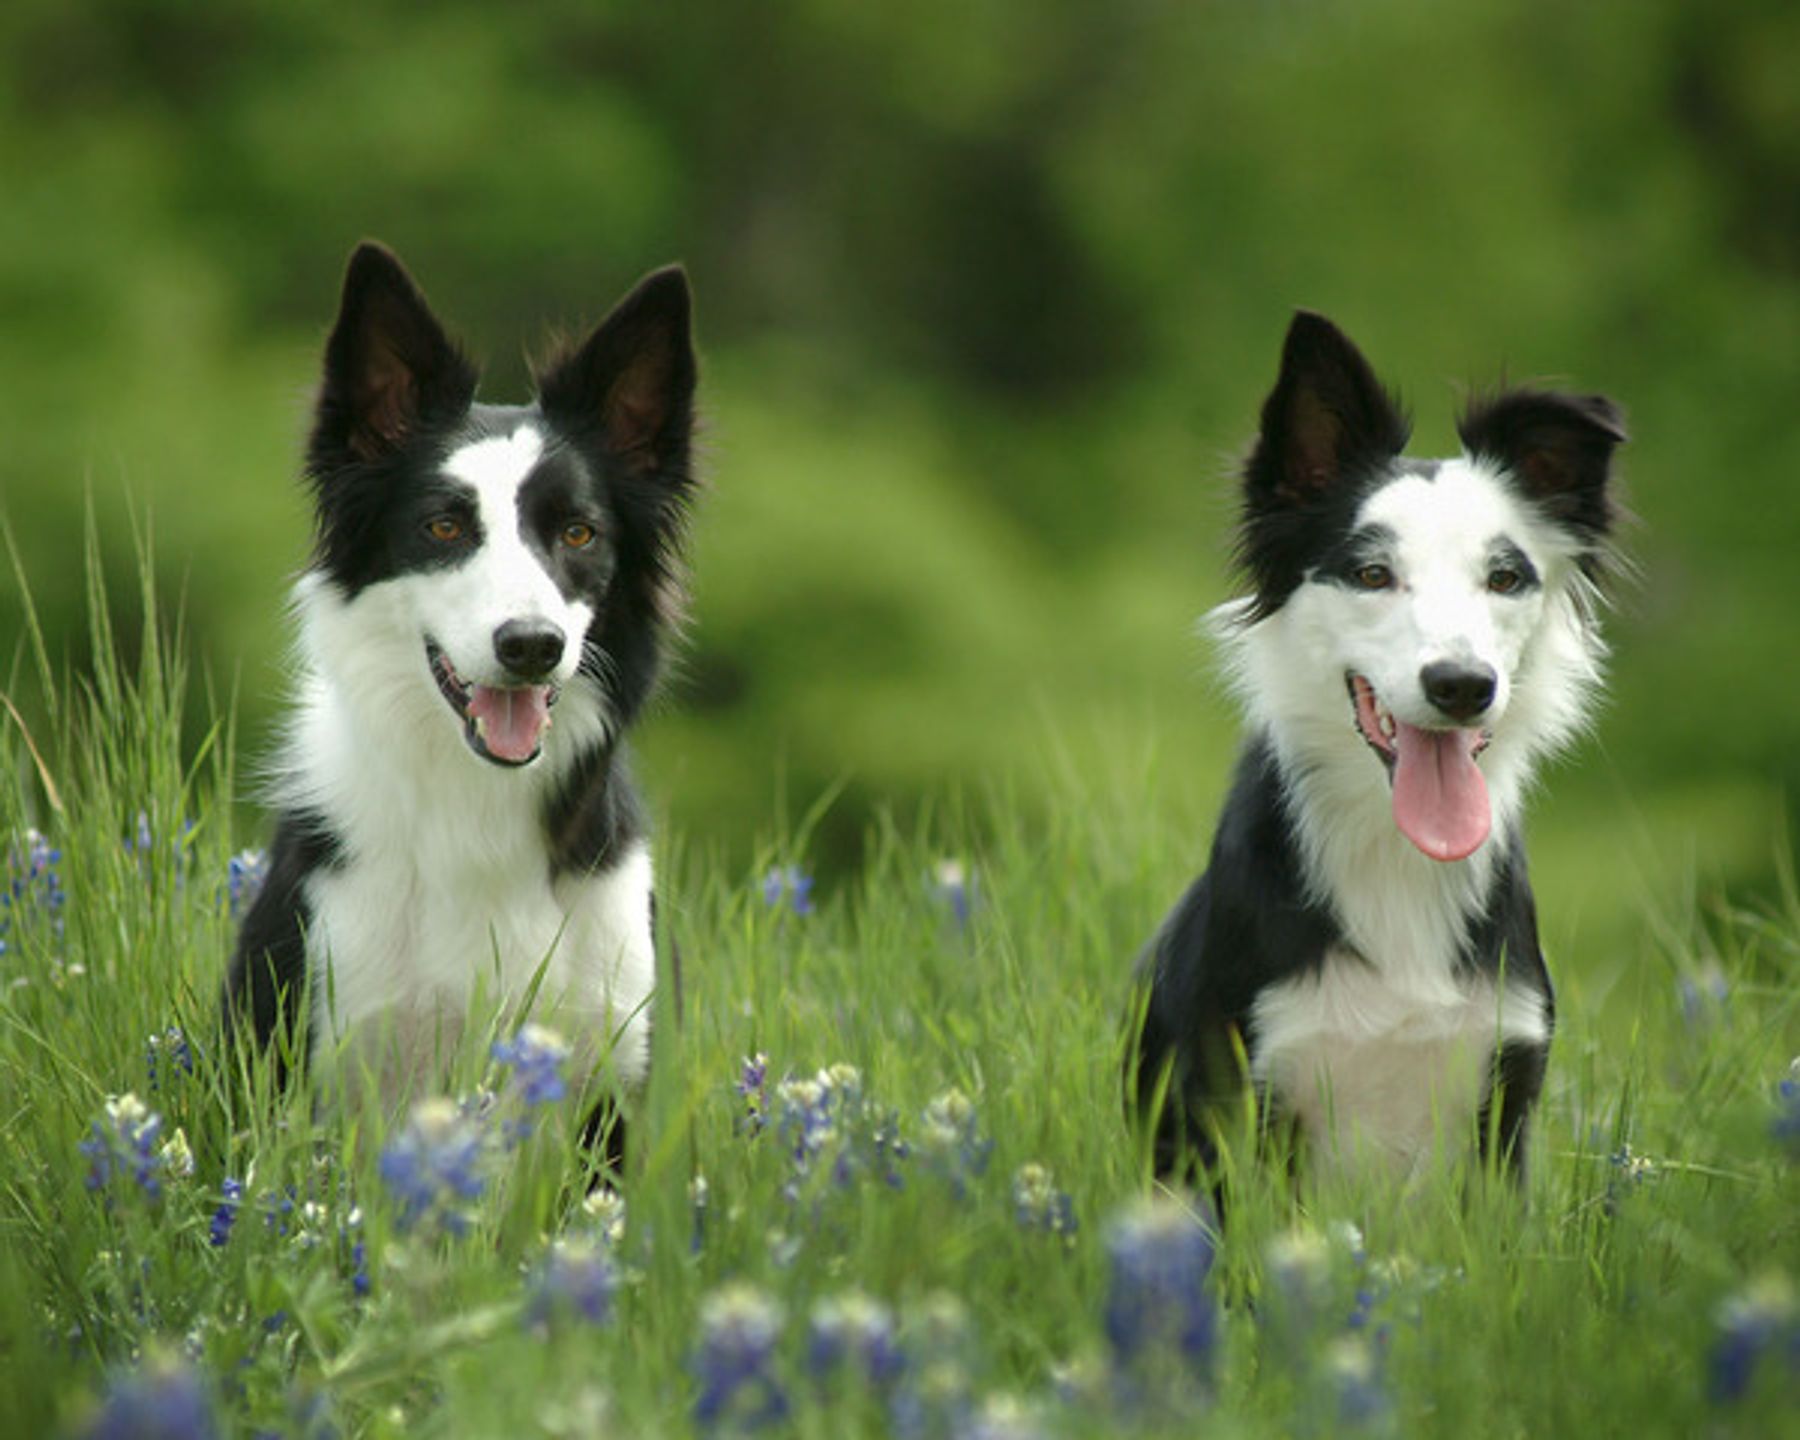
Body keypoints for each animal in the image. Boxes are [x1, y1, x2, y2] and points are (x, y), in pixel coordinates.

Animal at [1130, 315, 1627, 1195]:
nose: (1461, 684)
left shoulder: (1505, 1082)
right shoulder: (1245, 1086)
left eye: (1506, 578)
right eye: (1371, 573)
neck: (1396, 859)